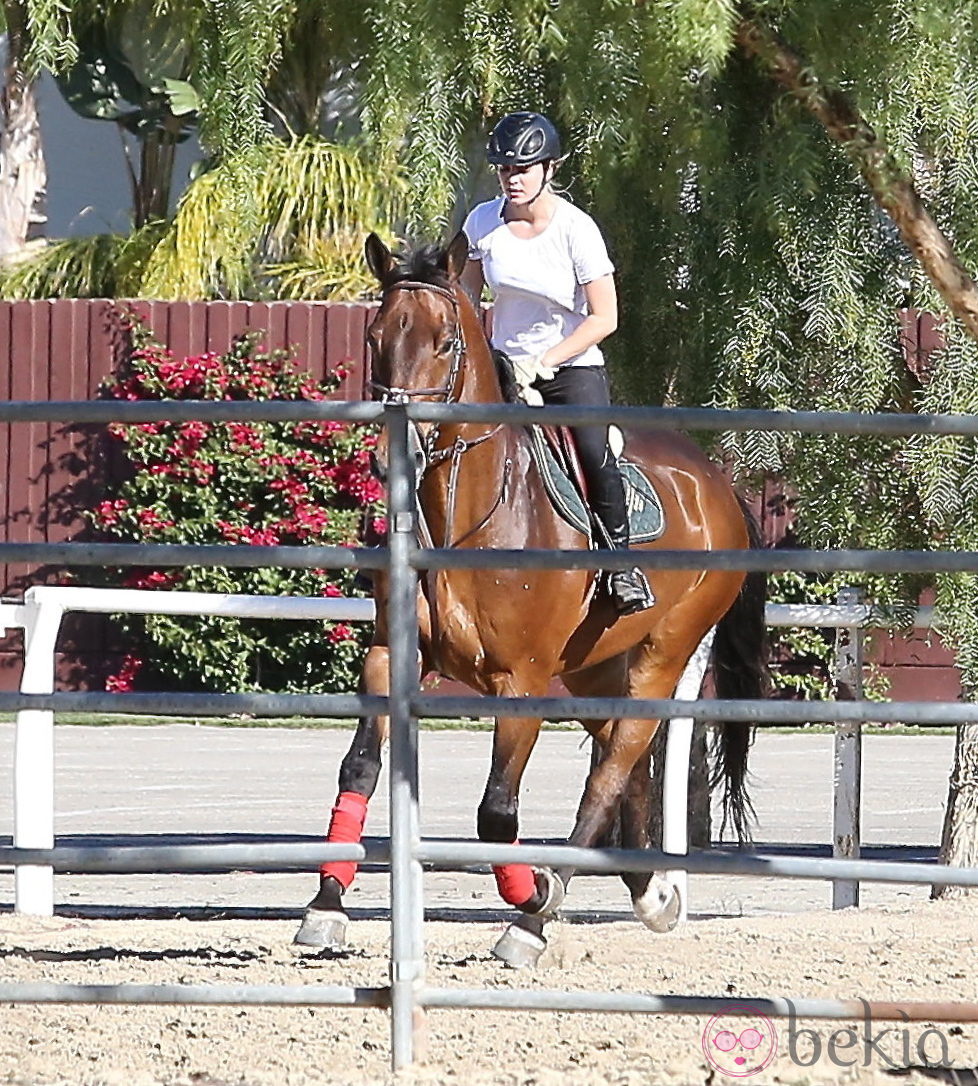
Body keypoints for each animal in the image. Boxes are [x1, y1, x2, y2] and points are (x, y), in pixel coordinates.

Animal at [293, 231, 768, 968]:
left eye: (445, 343)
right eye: (375, 336)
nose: (397, 452)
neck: (465, 517)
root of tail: (718, 483)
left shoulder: (522, 683)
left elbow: (496, 810)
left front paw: (529, 900)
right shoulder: (388, 658)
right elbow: (360, 769)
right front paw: (325, 907)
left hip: (663, 651)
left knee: (616, 763)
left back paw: (541, 915)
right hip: (595, 665)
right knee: (623, 759)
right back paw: (647, 892)